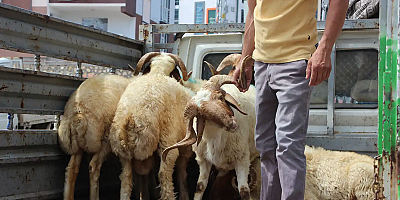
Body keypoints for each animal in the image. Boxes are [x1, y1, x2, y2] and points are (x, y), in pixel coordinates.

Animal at [107, 52, 193, 200]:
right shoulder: (184, 146)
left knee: (126, 179)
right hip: (167, 143)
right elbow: (182, 172)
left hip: (123, 154)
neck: (158, 73)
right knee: (164, 176)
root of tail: (132, 118)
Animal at [162, 54, 260, 200]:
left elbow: (244, 192)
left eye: (221, 97)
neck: (218, 138)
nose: (232, 124)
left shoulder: (242, 159)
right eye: (204, 115)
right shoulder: (204, 161)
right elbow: (200, 187)